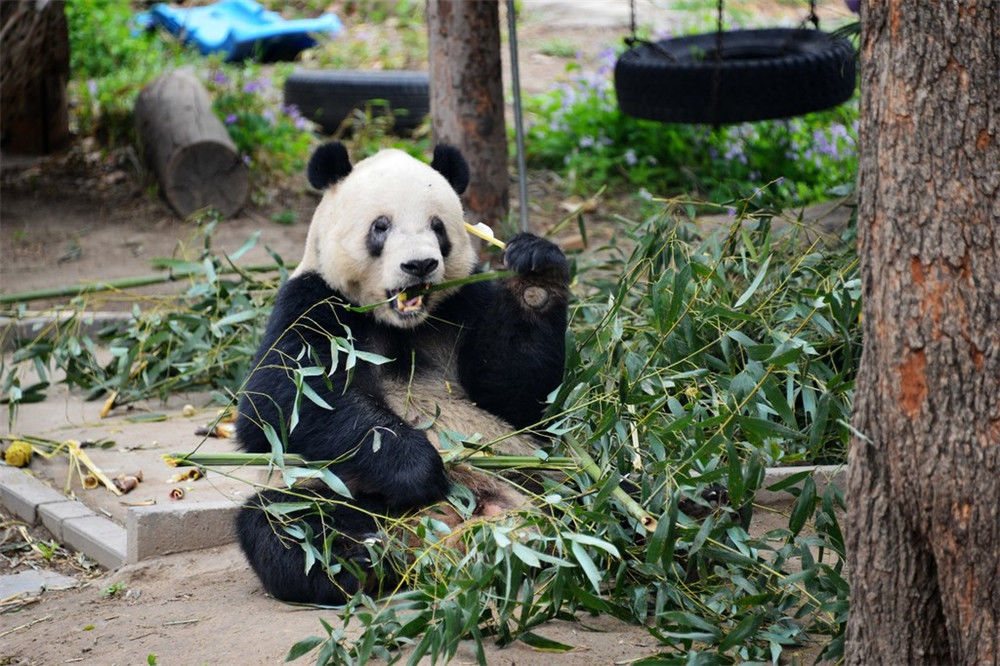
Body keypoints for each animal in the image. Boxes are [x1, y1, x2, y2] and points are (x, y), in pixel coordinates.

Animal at [229, 143, 568, 604]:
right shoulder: (314, 302)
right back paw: (363, 561)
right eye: (381, 226)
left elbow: (515, 394)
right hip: (354, 497)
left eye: (438, 227)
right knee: (281, 522)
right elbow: (280, 400)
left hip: (538, 479)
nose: (420, 264)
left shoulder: (464, 304)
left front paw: (537, 275)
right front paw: (419, 466)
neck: (400, 323)